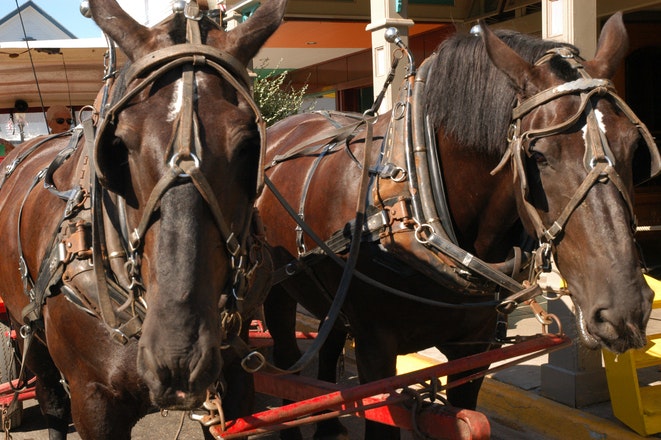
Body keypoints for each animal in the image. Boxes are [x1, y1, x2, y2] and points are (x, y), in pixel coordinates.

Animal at [0, 0, 285, 438]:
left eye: (249, 146)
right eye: (120, 145)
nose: (179, 358)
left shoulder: (236, 385)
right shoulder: (93, 402)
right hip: (25, 326)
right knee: (51, 403)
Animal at [257, 12, 660, 439]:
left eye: (635, 146)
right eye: (537, 155)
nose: (625, 309)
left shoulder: (474, 350)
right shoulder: (375, 355)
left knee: (328, 345)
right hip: (275, 287)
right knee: (285, 361)